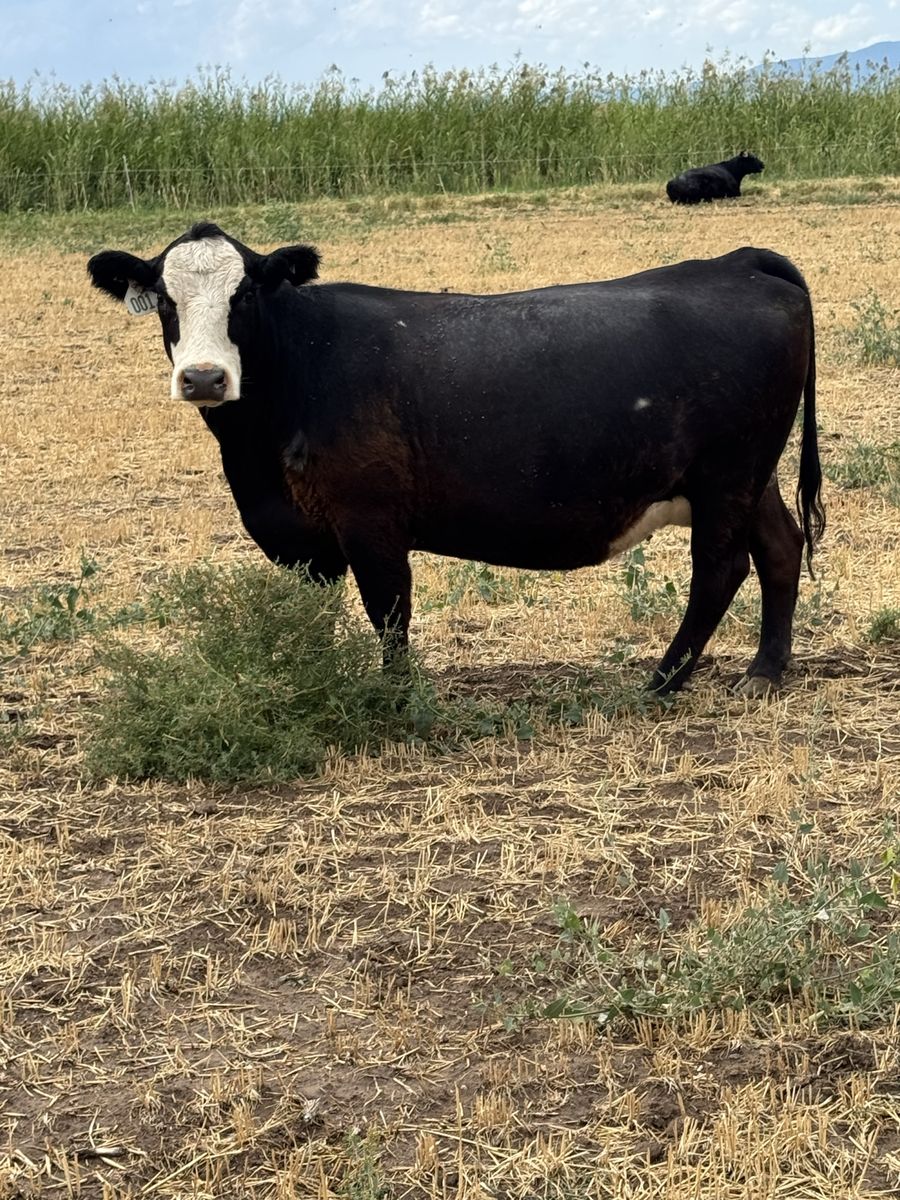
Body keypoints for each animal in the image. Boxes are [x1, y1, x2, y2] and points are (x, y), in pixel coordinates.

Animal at [87, 223, 824, 696]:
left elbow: (389, 612)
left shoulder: (370, 521)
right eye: (166, 301)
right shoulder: (304, 538)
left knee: (720, 568)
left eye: (243, 295)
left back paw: (665, 681)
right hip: (749, 479)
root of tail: (735, 261)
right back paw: (764, 671)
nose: (203, 378)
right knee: (780, 548)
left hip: (727, 478)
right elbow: (315, 619)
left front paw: (393, 700)